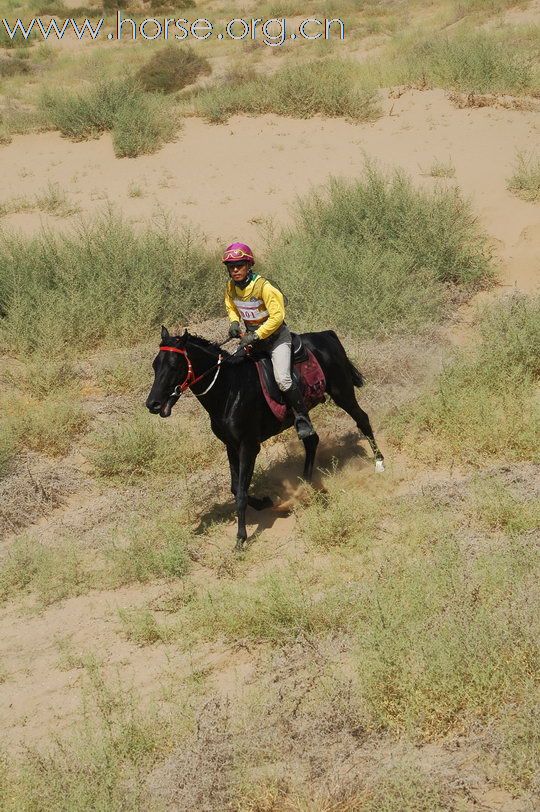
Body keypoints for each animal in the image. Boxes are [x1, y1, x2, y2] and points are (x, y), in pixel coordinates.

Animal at [147, 326, 384, 548]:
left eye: (174, 366)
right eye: (155, 365)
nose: (152, 404)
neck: (230, 389)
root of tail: (327, 335)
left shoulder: (249, 446)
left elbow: (241, 493)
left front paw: (241, 538)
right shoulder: (231, 446)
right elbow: (236, 488)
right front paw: (265, 502)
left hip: (342, 392)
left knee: (362, 420)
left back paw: (379, 463)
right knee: (311, 439)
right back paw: (305, 484)